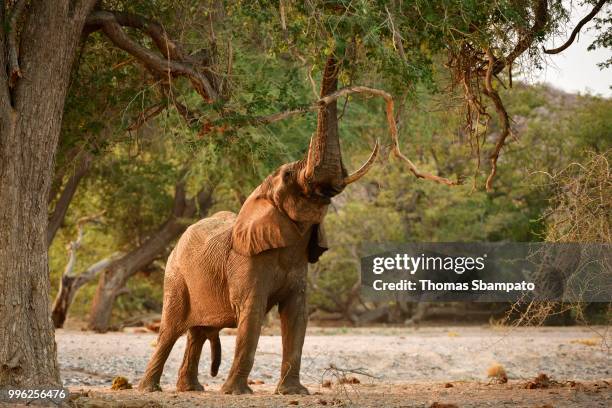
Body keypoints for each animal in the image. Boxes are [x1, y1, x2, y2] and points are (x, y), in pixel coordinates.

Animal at [138, 55, 378, 394]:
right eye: (289, 176)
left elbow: (297, 315)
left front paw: (293, 393)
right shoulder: (246, 262)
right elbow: (251, 315)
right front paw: (235, 393)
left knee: (198, 332)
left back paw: (192, 389)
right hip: (175, 277)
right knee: (170, 329)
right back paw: (150, 389)